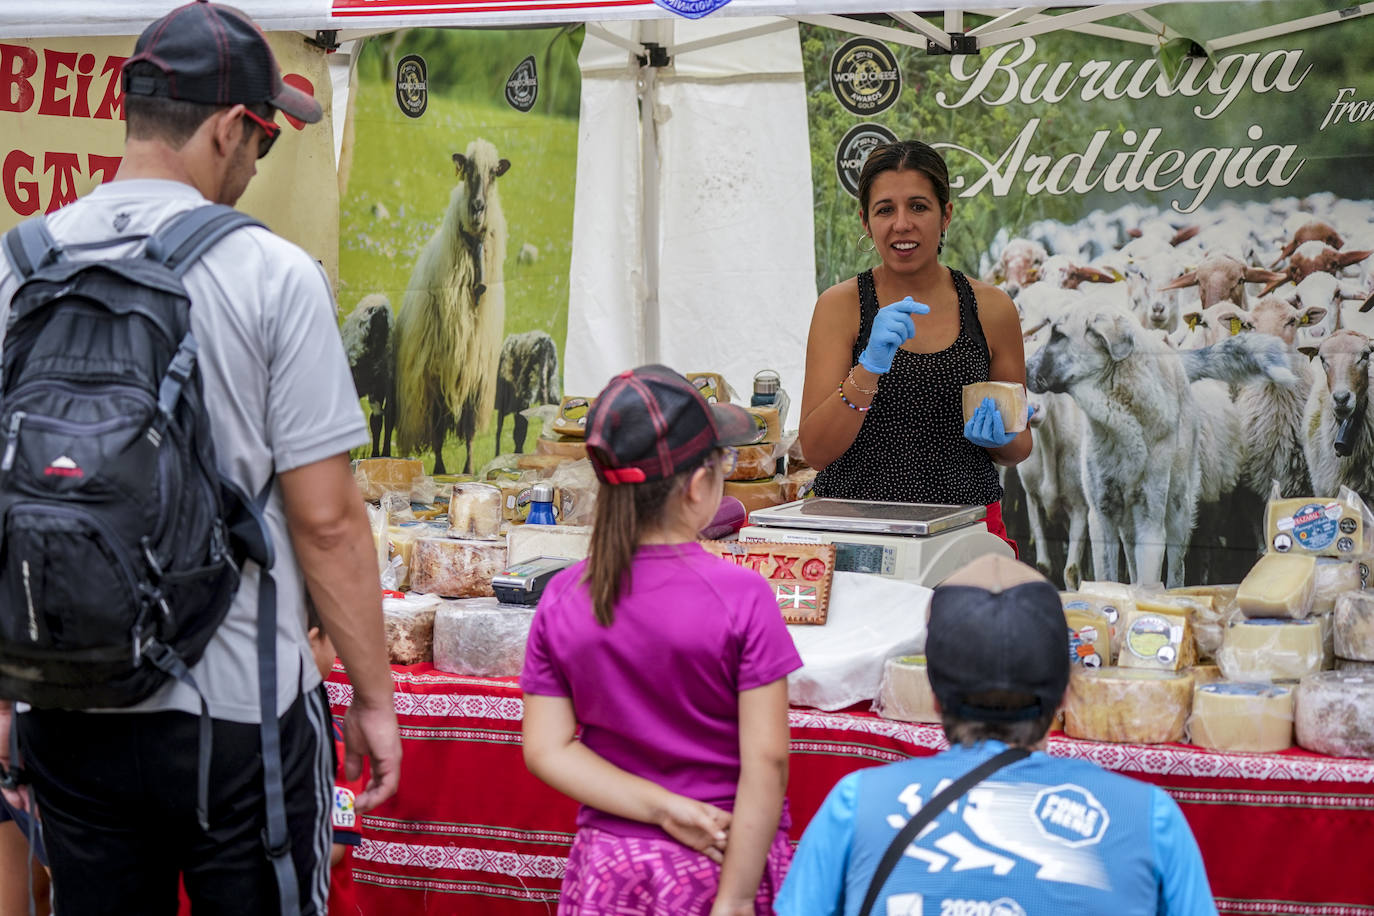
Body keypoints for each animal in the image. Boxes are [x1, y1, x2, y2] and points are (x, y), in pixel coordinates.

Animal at [395, 141, 513, 480]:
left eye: (493, 174)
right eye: (467, 170)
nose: (477, 208)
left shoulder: (475, 372)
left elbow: (471, 429)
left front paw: (469, 471)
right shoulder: (434, 372)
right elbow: (436, 431)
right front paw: (440, 471)